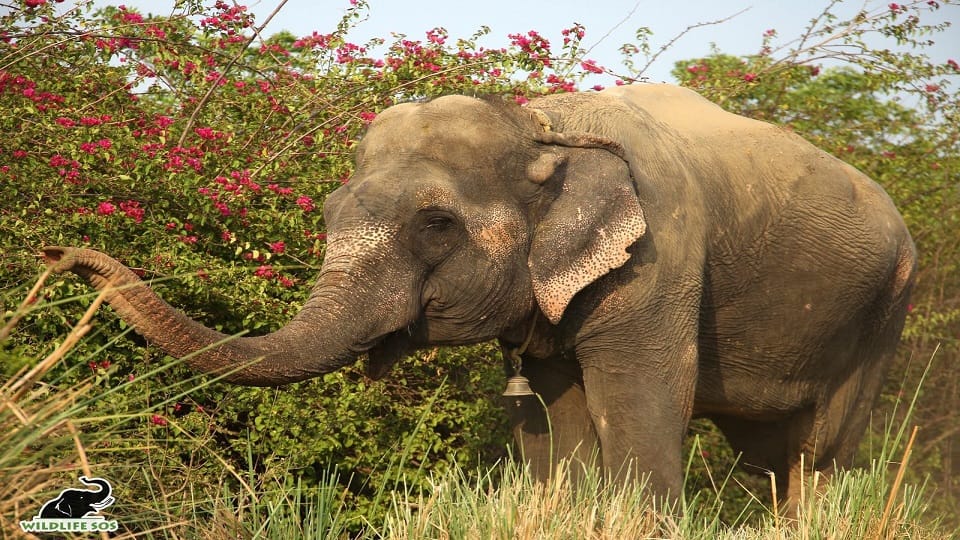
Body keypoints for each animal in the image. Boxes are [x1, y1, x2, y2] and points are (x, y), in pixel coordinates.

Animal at [42, 84, 916, 510]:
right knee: (770, 459)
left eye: (435, 225)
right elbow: (556, 417)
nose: (58, 255)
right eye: (327, 212)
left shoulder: (661, 256)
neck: (542, 127)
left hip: (886, 309)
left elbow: (640, 405)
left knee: (820, 456)